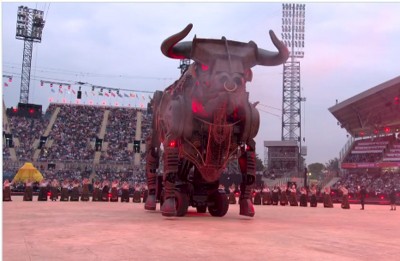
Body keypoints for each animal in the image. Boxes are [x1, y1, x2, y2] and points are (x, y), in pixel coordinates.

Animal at [144, 23, 288, 216]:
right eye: (205, 67)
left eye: (245, 72)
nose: (232, 79)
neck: (216, 115)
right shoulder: (172, 136)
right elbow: (171, 171)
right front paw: (170, 205)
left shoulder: (248, 134)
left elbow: (249, 172)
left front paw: (245, 207)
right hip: (155, 128)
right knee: (153, 156)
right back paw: (153, 201)